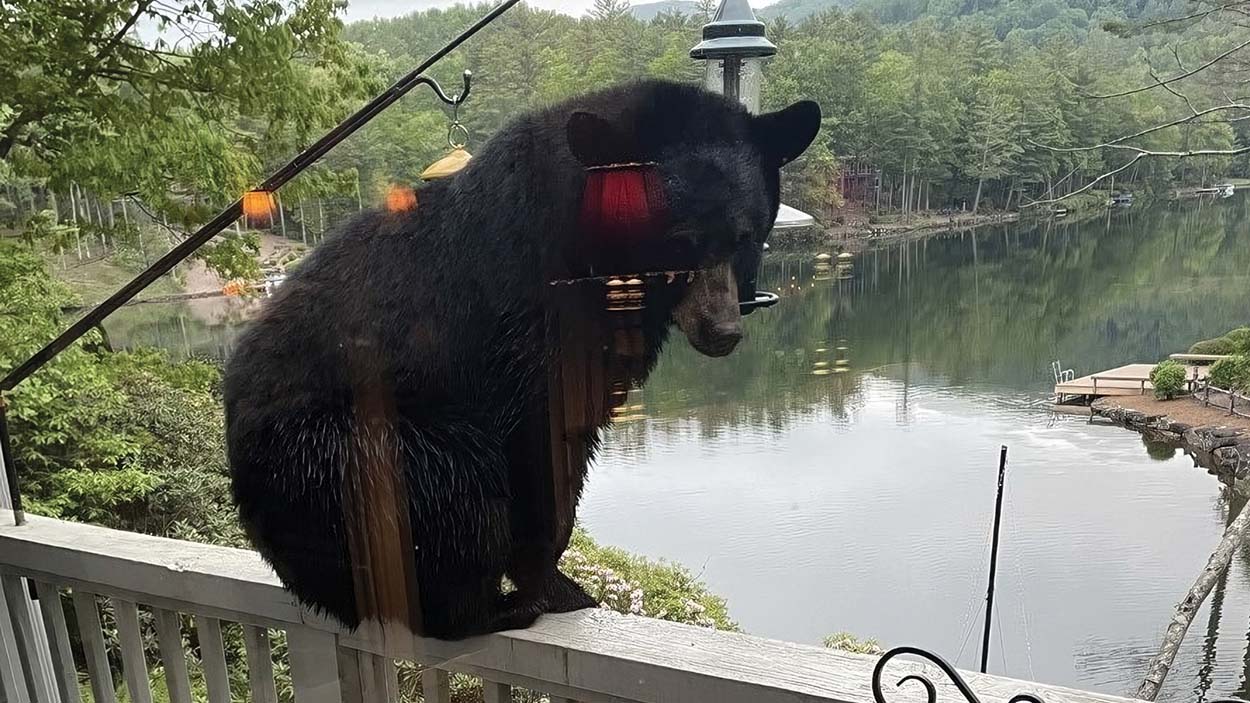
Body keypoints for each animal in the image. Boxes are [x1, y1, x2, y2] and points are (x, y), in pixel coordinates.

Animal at [223, 79, 820, 639]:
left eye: (746, 236)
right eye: (679, 242)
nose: (723, 331)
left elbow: (577, 435)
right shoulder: (524, 315)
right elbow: (532, 441)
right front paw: (558, 586)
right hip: (335, 457)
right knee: (455, 481)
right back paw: (487, 608)